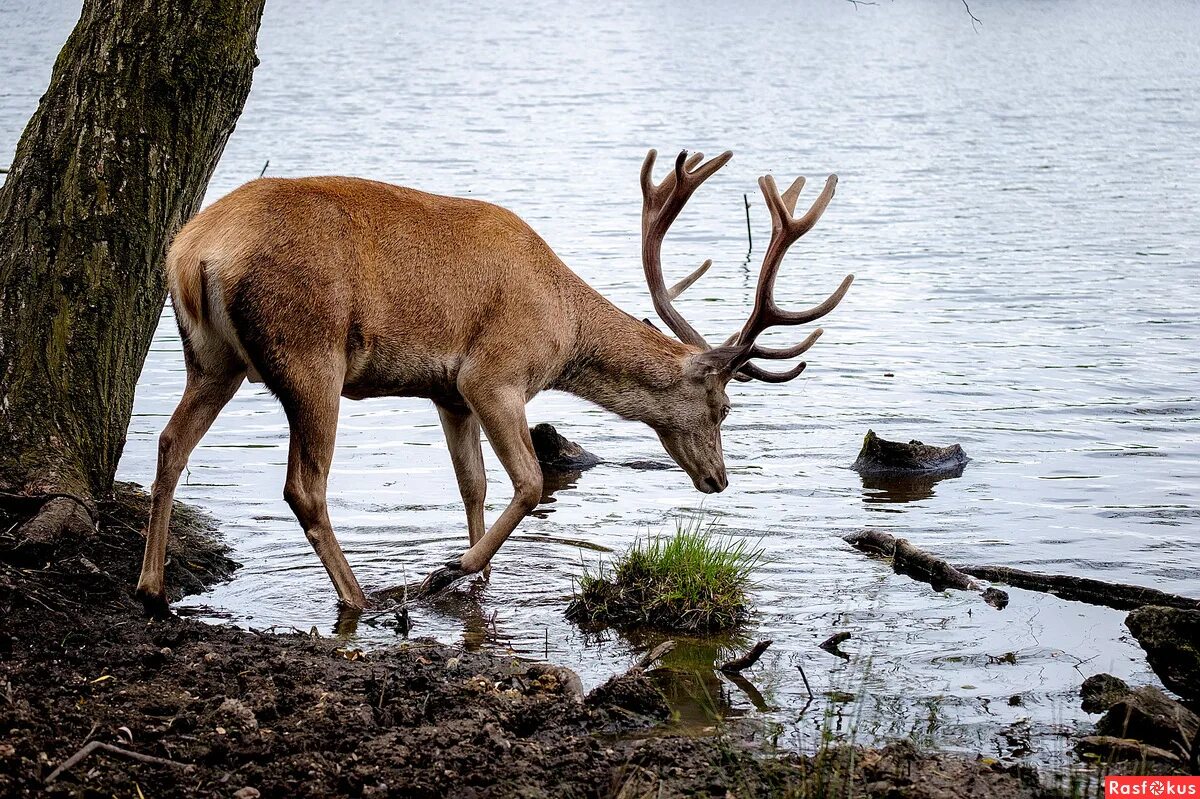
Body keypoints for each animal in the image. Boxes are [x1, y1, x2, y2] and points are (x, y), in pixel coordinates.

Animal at [133, 146, 854, 611]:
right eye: (722, 407)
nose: (719, 479)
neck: (562, 329)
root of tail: (193, 253)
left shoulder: (448, 393)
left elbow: (473, 486)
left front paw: (476, 580)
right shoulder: (494, 374)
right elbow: (531, 482)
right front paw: (446, 571)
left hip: (212, 358)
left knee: (170, 444)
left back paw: (152, 586)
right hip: (310, 355)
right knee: (303, 487)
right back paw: (363, 597)